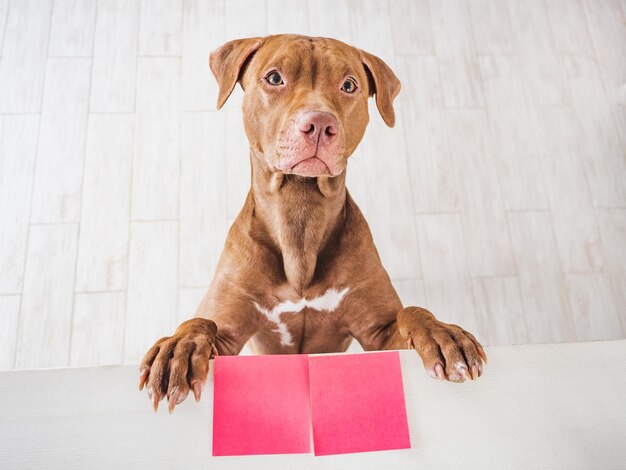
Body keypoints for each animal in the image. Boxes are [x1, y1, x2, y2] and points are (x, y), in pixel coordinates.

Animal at [139, 35, 486, 412]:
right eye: (274, 78)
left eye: (348, 85)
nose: (319, 123)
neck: (300, 214)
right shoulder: (229, 335)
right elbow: (201, 322)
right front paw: (179, 347)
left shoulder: (379, 335)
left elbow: (412, 311)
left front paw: (442, 332)